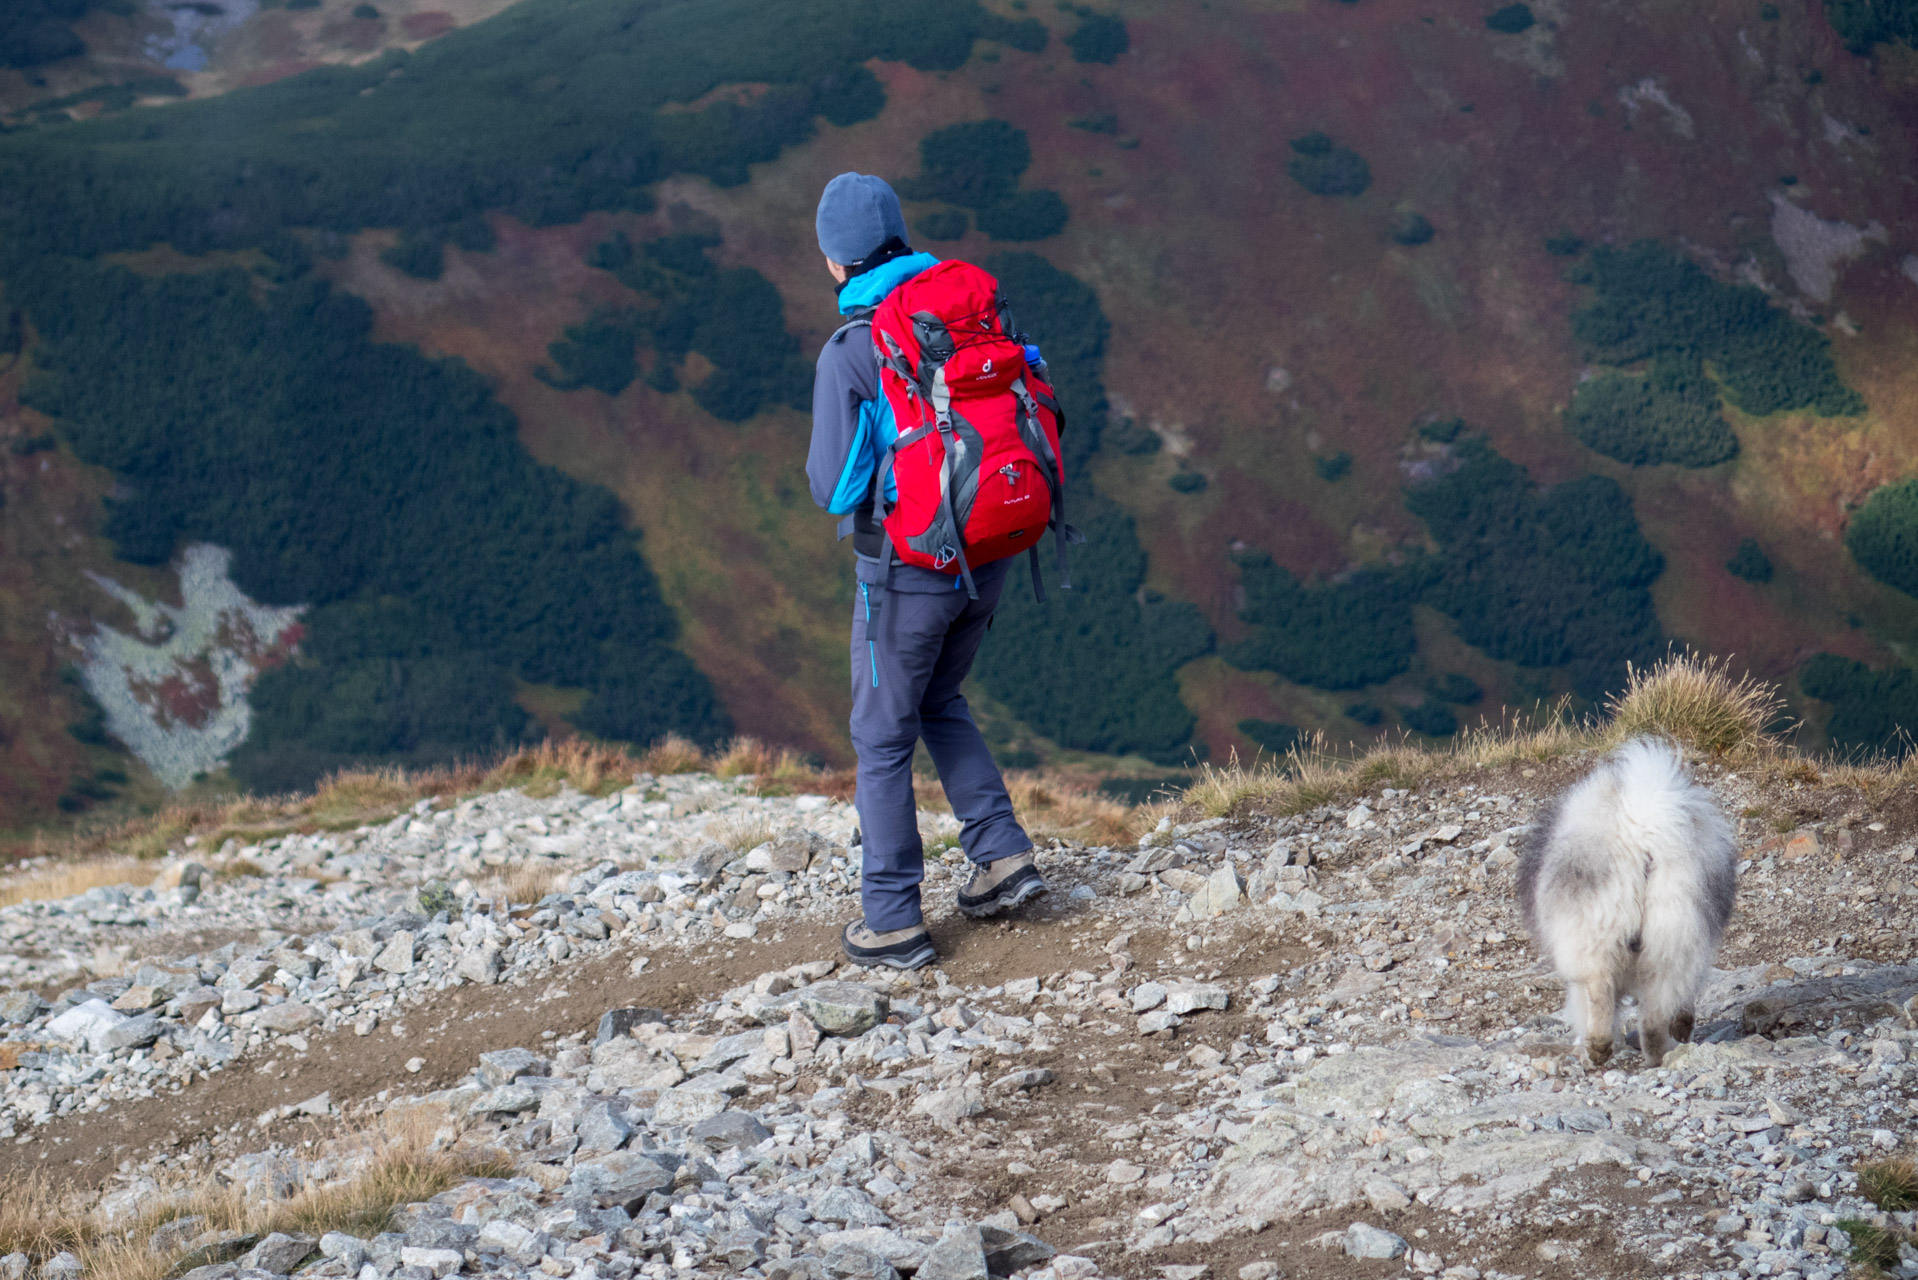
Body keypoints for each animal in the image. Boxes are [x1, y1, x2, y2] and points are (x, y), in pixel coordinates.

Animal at [1526, 736, 1741, 1066]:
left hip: (1597, 932)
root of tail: (1643, 832)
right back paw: (1660, 1051)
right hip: (1674, 933)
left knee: (1600, 991)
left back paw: (1602, 1048)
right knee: (1655, 1010)